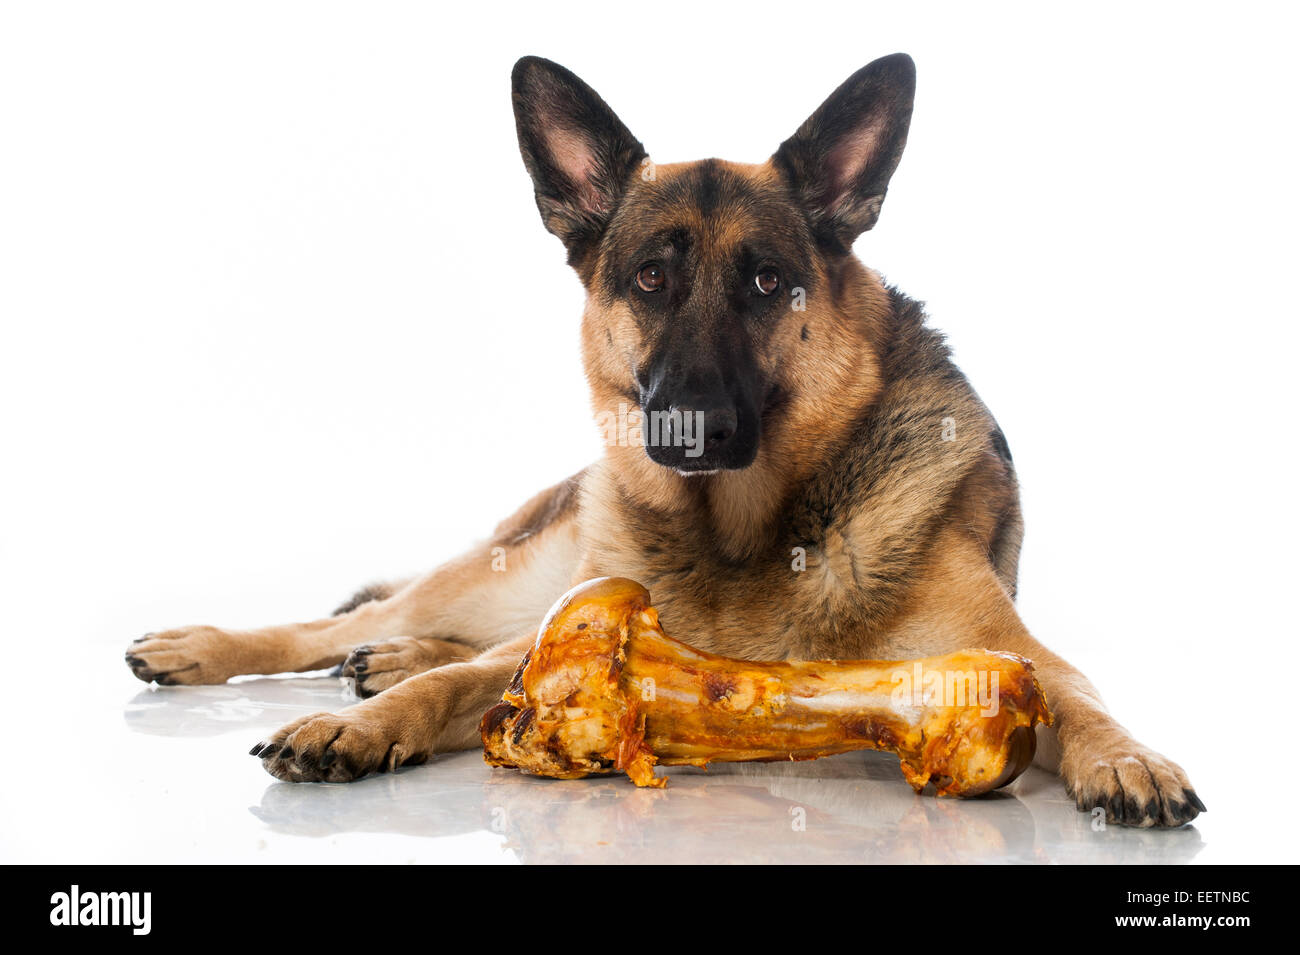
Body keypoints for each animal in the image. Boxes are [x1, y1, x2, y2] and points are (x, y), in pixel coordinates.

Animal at [126, 54, 1201, 831]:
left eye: (767, 282)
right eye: (649, 277)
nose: (693, 423)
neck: (742, 538)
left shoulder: (1023, 657)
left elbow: (1086, 697)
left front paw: (1131, 759)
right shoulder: (550, 644)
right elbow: (452, 681)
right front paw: (361, 723)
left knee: (416, 629)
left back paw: (379, 657)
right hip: (504, 572)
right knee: (356, 623)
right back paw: (226, 648)